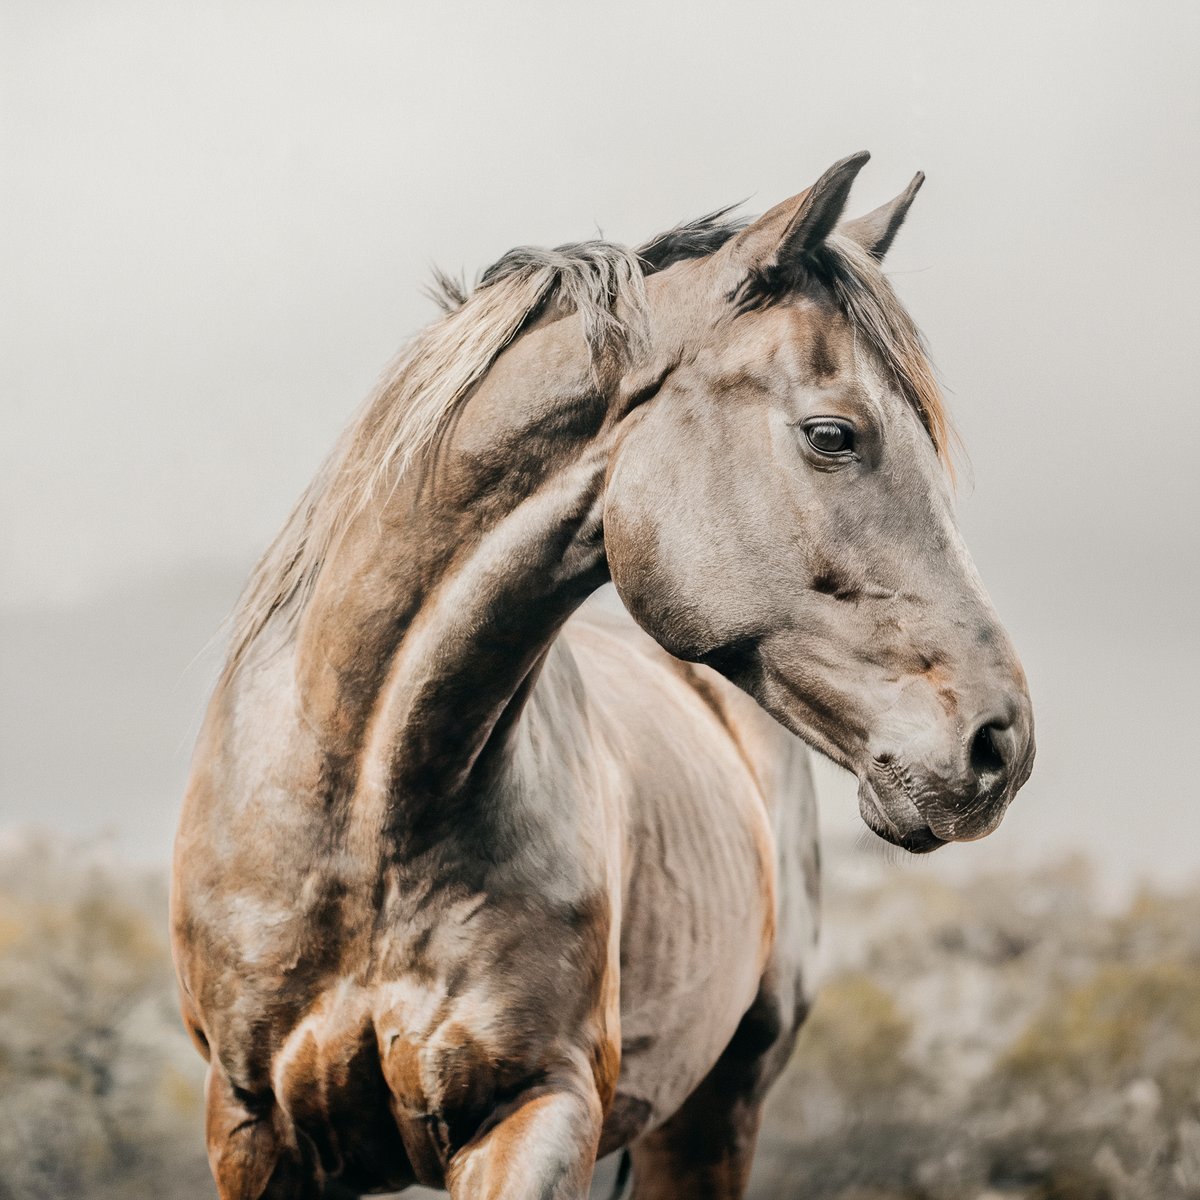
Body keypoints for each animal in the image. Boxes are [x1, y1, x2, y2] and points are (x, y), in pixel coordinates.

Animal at [169, 152, 1032, 1200]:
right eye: (833, 434)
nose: (1000, 744)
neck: (368, 814)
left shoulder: (536, 1107)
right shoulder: (253, 1129)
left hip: (714, 1111)